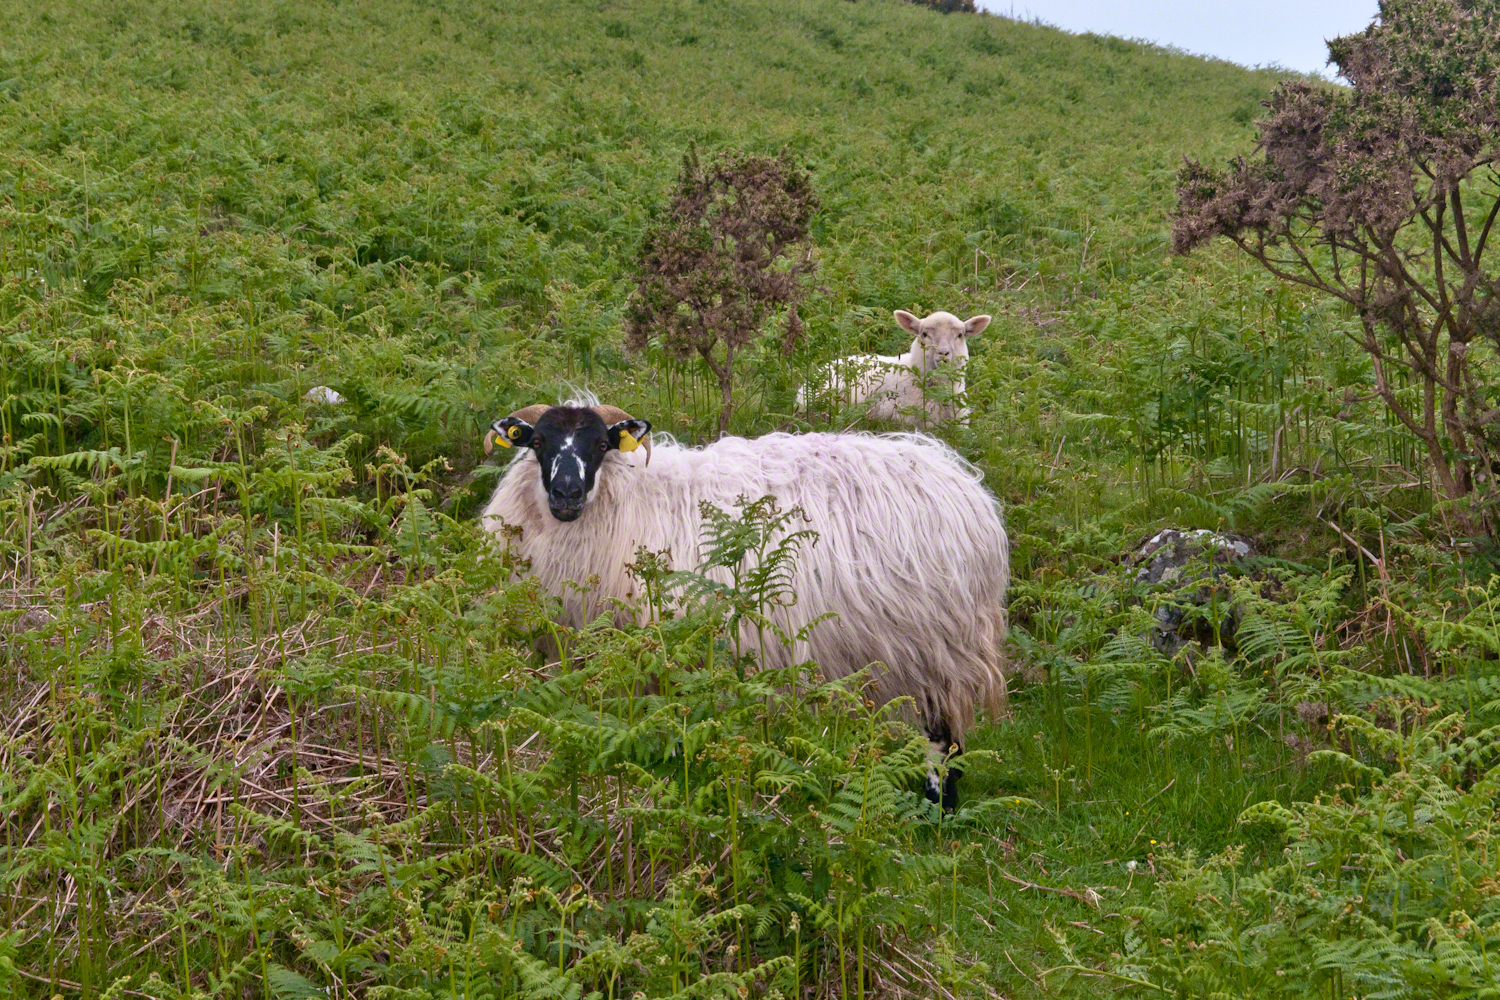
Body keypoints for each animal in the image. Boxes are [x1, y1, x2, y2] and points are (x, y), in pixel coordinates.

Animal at [480, 400, 1010, 807]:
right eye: (538, 443)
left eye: (599, 445)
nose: (566, 493)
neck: (626, 499)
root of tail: (969, 494)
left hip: (936, 647)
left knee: (943, 738)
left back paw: (938, 807)